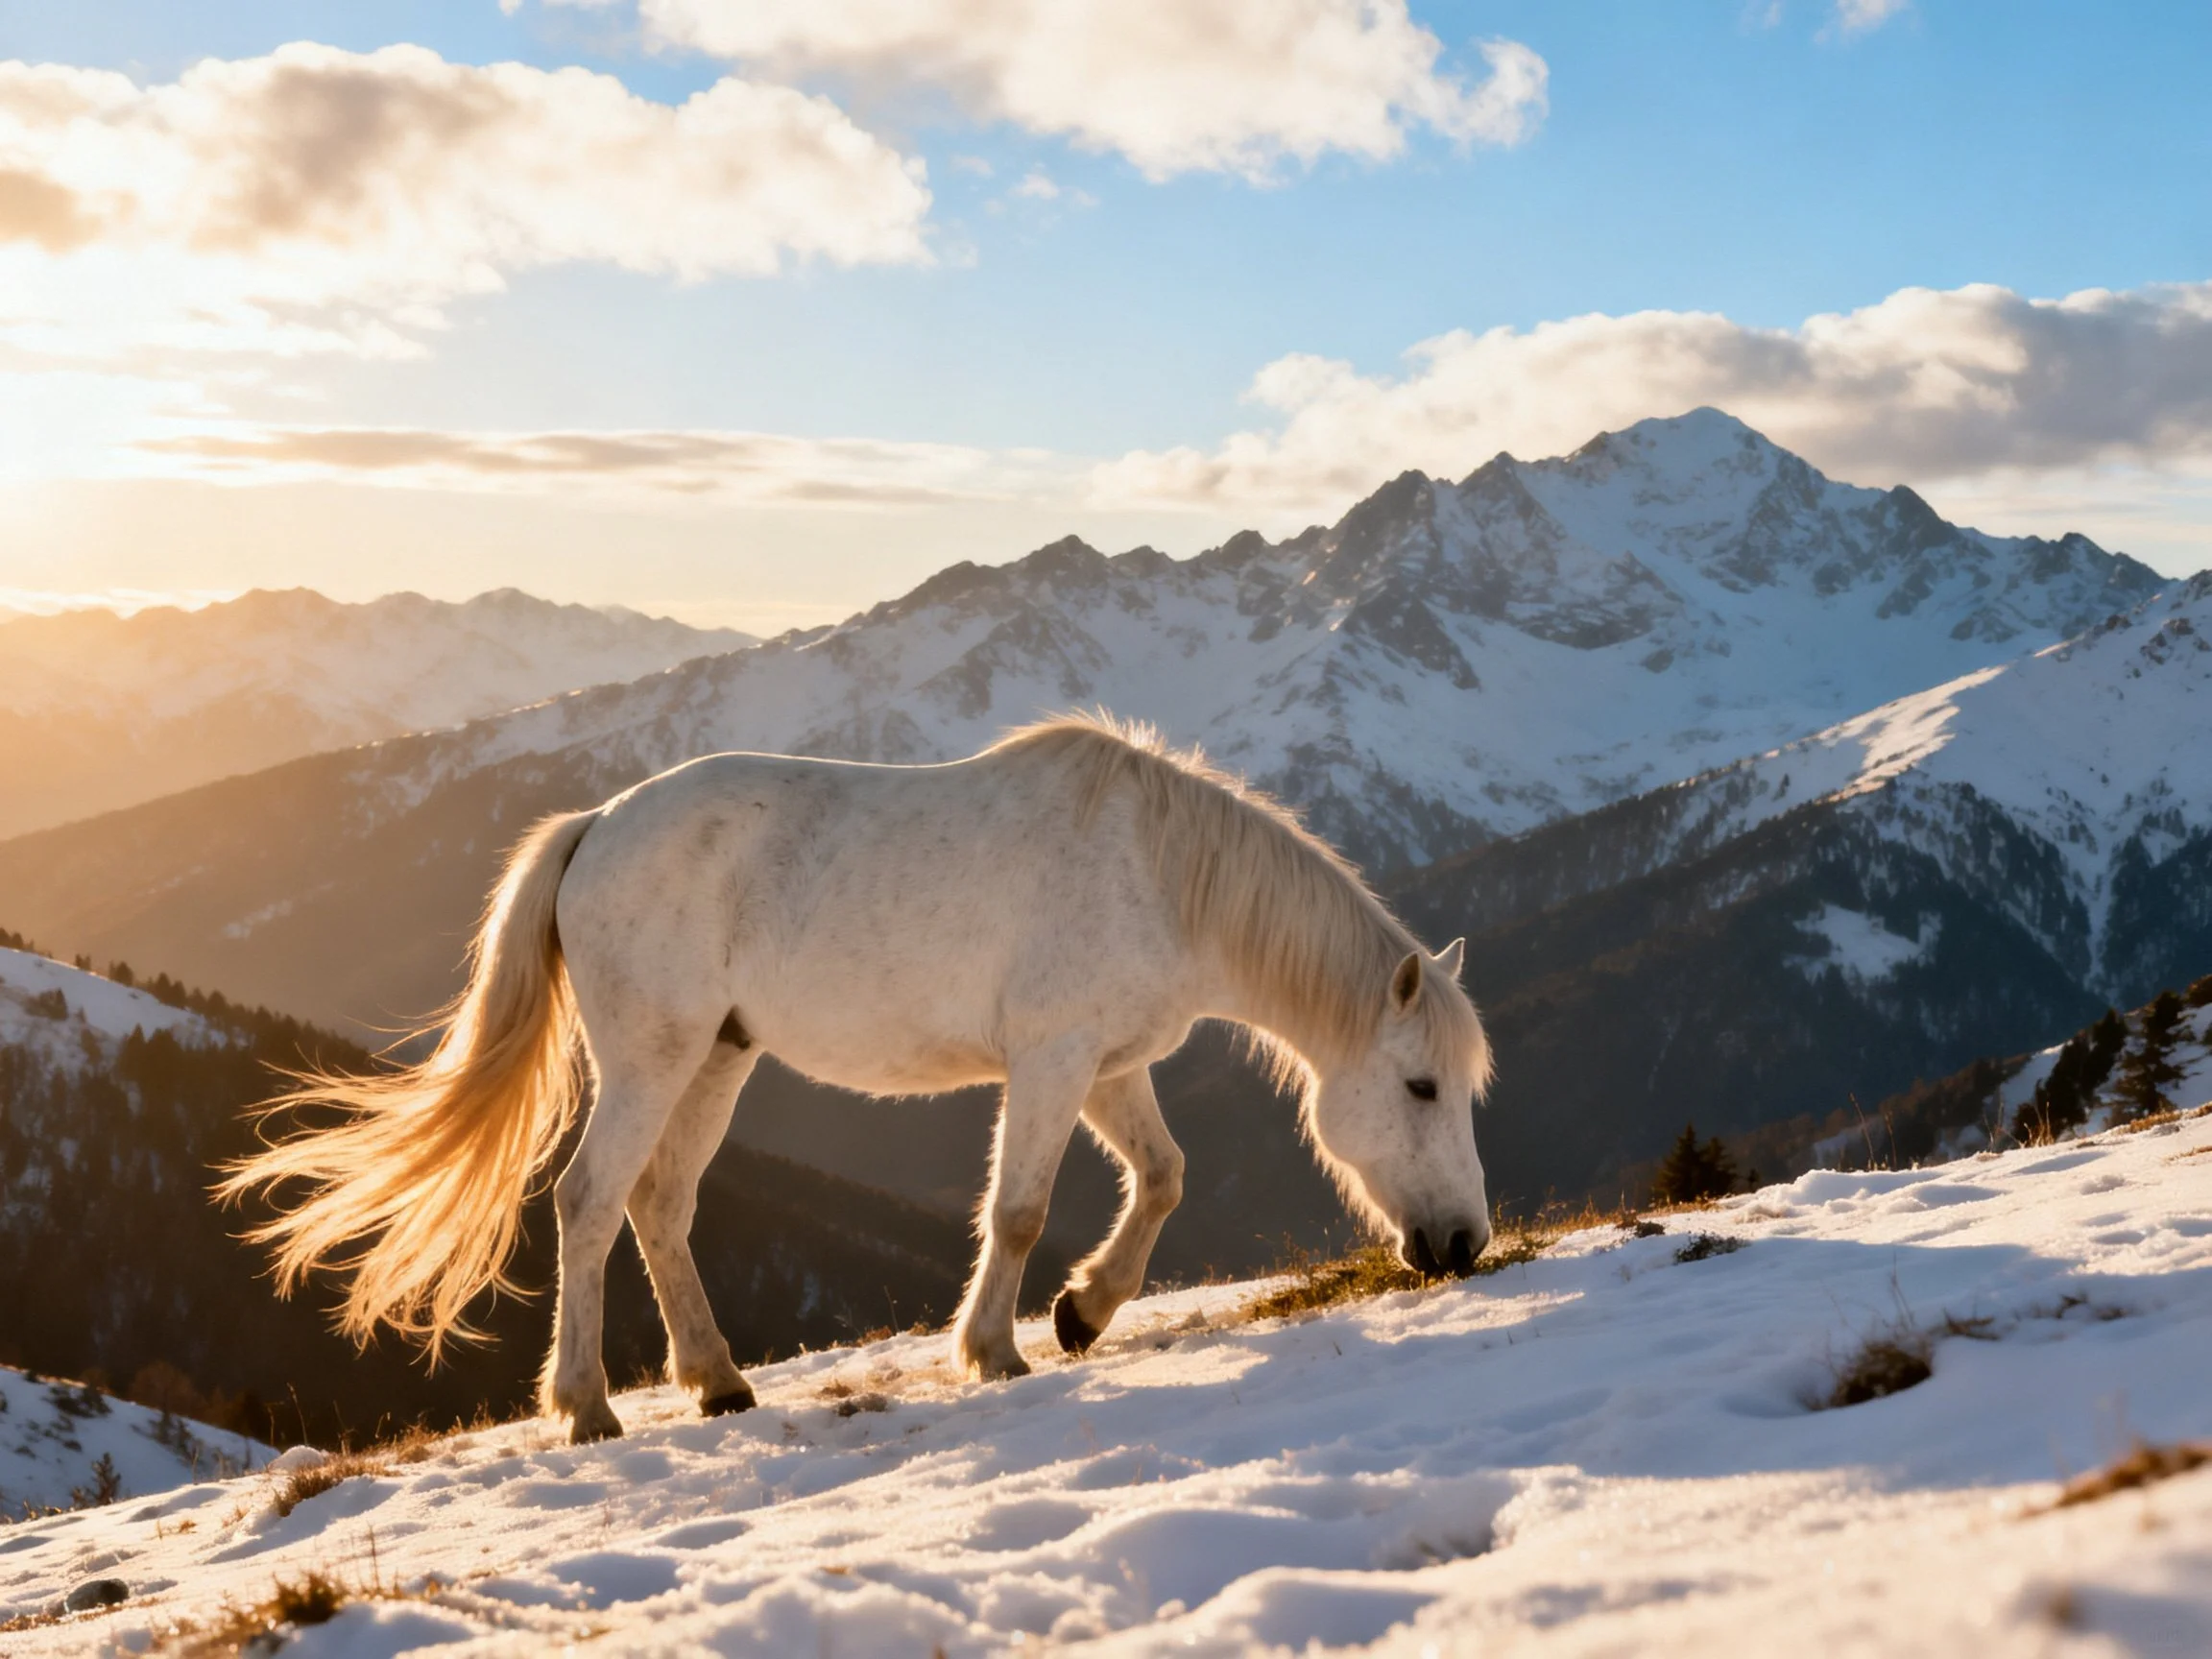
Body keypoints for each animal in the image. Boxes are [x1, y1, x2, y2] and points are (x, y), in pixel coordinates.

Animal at [223, 715, 1495, 1444]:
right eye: (1422, 1090)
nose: (1462, 1245)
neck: (1159, 871)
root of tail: (596, 826)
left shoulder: (1104, 1066)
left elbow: (1166, 1179)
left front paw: (1083, 1311)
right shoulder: (1051, 1061)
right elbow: (1019, 1209)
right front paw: (994, 1348)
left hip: (718, 1058)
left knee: (659, 1205)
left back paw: (718, 1381)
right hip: (652, 1058)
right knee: (589, 1202)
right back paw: (587, 1406)